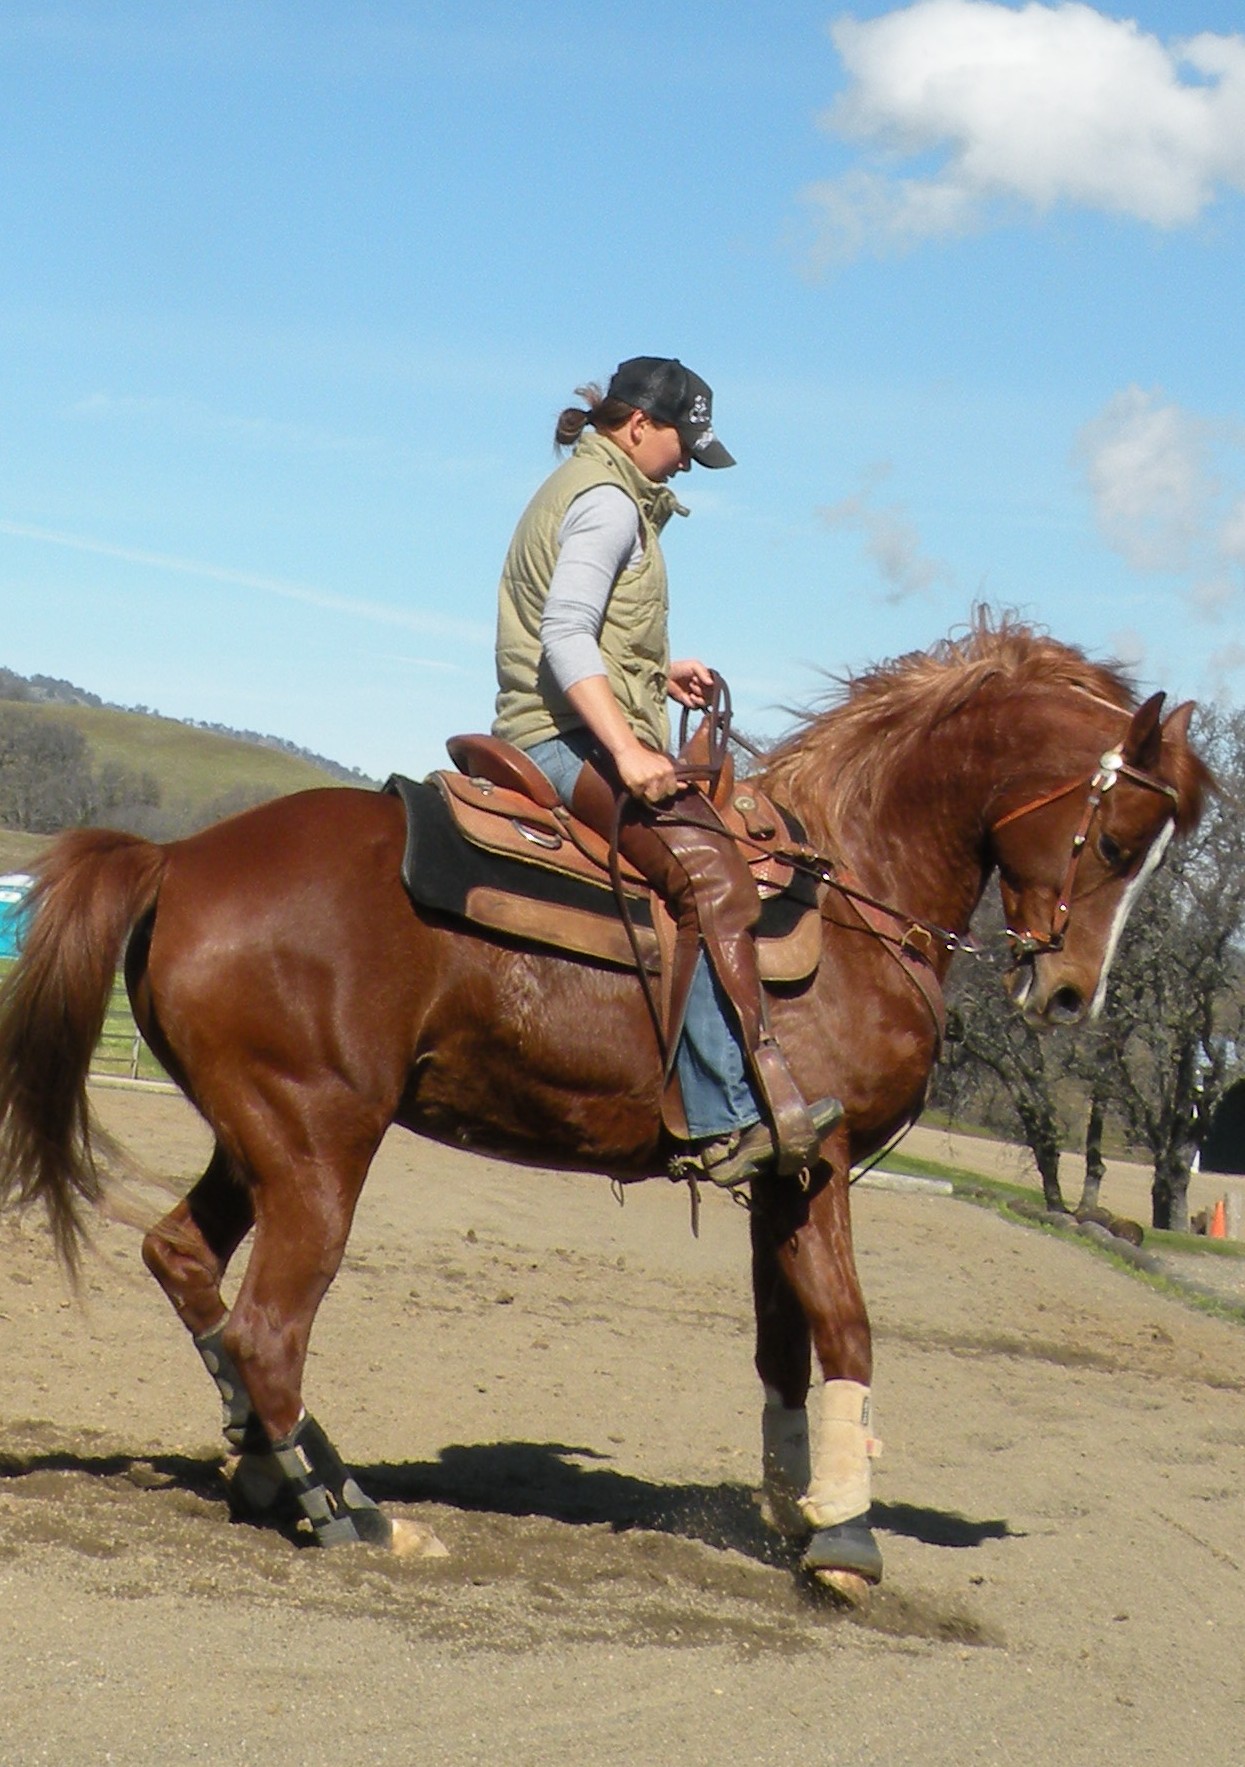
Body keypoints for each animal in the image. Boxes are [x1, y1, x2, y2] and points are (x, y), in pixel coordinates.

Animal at [0, 625, 1200, 1604]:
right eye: (1118, 838)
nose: (1070, 994)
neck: (853, 887)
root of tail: (176, 857)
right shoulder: (821, 1161)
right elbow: (848, 1327)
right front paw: (847, 1542)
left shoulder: (775, 1174)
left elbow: (781, 1342)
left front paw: (791, 1505)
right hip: (318, 1149)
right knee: (267, 1327)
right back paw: (349, 1512)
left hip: (257, 1142)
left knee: (183, 1261)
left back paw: (272, 1471)